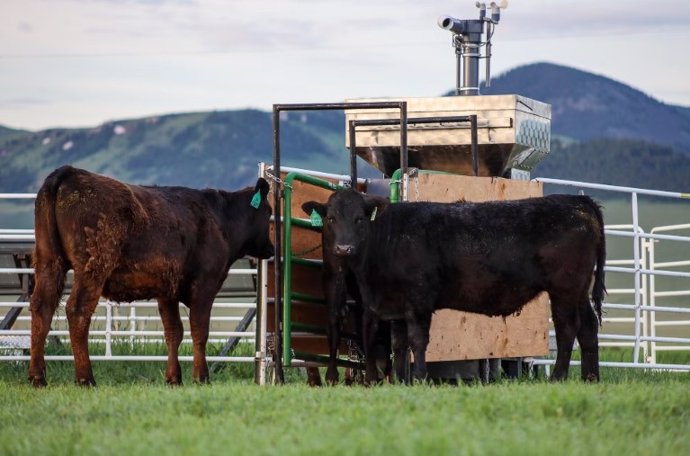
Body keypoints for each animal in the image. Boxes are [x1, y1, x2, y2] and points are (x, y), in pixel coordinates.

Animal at [29, 166, 272, 386]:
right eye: (269, 212)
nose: (272, 248)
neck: (220, 219)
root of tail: (69, 172)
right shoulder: (205, 284)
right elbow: (199, 331)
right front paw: (201, 377)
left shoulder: (167, 291)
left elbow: (174, 331)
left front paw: (173, 378)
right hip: (93, 266)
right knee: (78, 311)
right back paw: (85, 378)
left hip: (48, 261)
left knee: (42, 306)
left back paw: (37, 377)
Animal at [304, 191, 604, 382]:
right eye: (331, 218)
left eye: (359, 219)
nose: (344, 248)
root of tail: (577, 201)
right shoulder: (396, 306)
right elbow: (398, 345)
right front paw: (401, 381)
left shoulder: (419, 301)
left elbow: (417, 341)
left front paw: (420, 378)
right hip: (579, 291)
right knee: (588, 327)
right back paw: (590, 378)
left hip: (564, 289)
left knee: (568, 328)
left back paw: (559, 377)